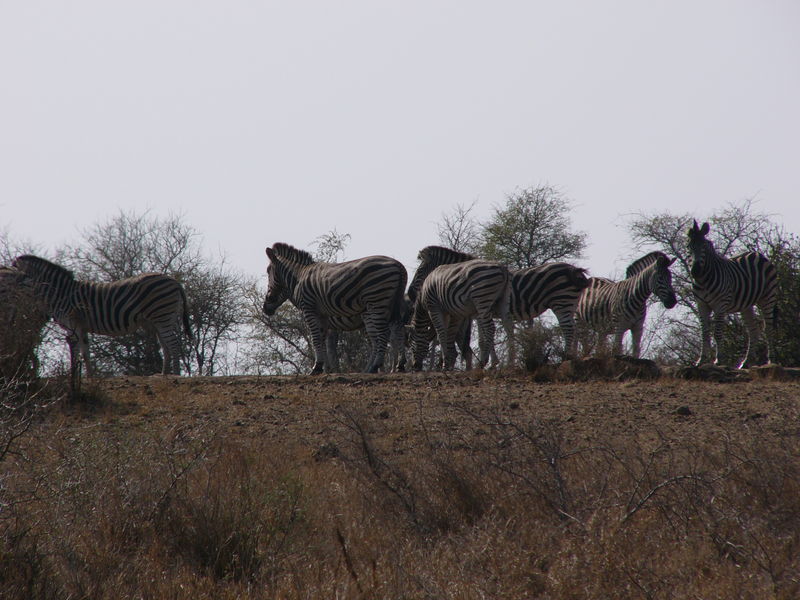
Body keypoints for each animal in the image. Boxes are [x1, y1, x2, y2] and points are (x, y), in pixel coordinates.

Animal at [12, 254, 192, 376]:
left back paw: (175, 375)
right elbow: (86, 353)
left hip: (162, 316)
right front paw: (90, 377)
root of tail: (174, 281)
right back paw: (163, 374)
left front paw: (74, 375)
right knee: (166, 345)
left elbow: (76, 351)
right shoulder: (82, 327)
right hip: (160, 320)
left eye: (14, 272)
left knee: (174, 344)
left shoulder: (73, 325)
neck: (60, 293)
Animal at [262, 241, 406, 372]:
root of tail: (398, 264)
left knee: (383, 334)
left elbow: (315, 338)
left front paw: (317, 368)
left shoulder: (309, 308)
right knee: (395, 330)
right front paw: (324, 368)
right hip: (389, 305)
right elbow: (321, 339)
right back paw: (397, 365)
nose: (265, 307)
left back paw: (377, 366)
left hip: (377, 301)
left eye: (268, 271)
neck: (299, 277)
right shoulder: (323, 316)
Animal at [688, 220, 776, 368]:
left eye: (704, 247)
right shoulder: (701, 305)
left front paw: (718, 360)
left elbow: (717, 333)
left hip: (767, 297)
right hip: (746, 305)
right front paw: (701, 360)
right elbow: (704, 333)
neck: (703, 280)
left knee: (768, 328)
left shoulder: (720, 305)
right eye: (689, 247)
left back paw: (770, 361)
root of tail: (757, 254)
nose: (695, 271)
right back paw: (746, 362)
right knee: (753, 330)